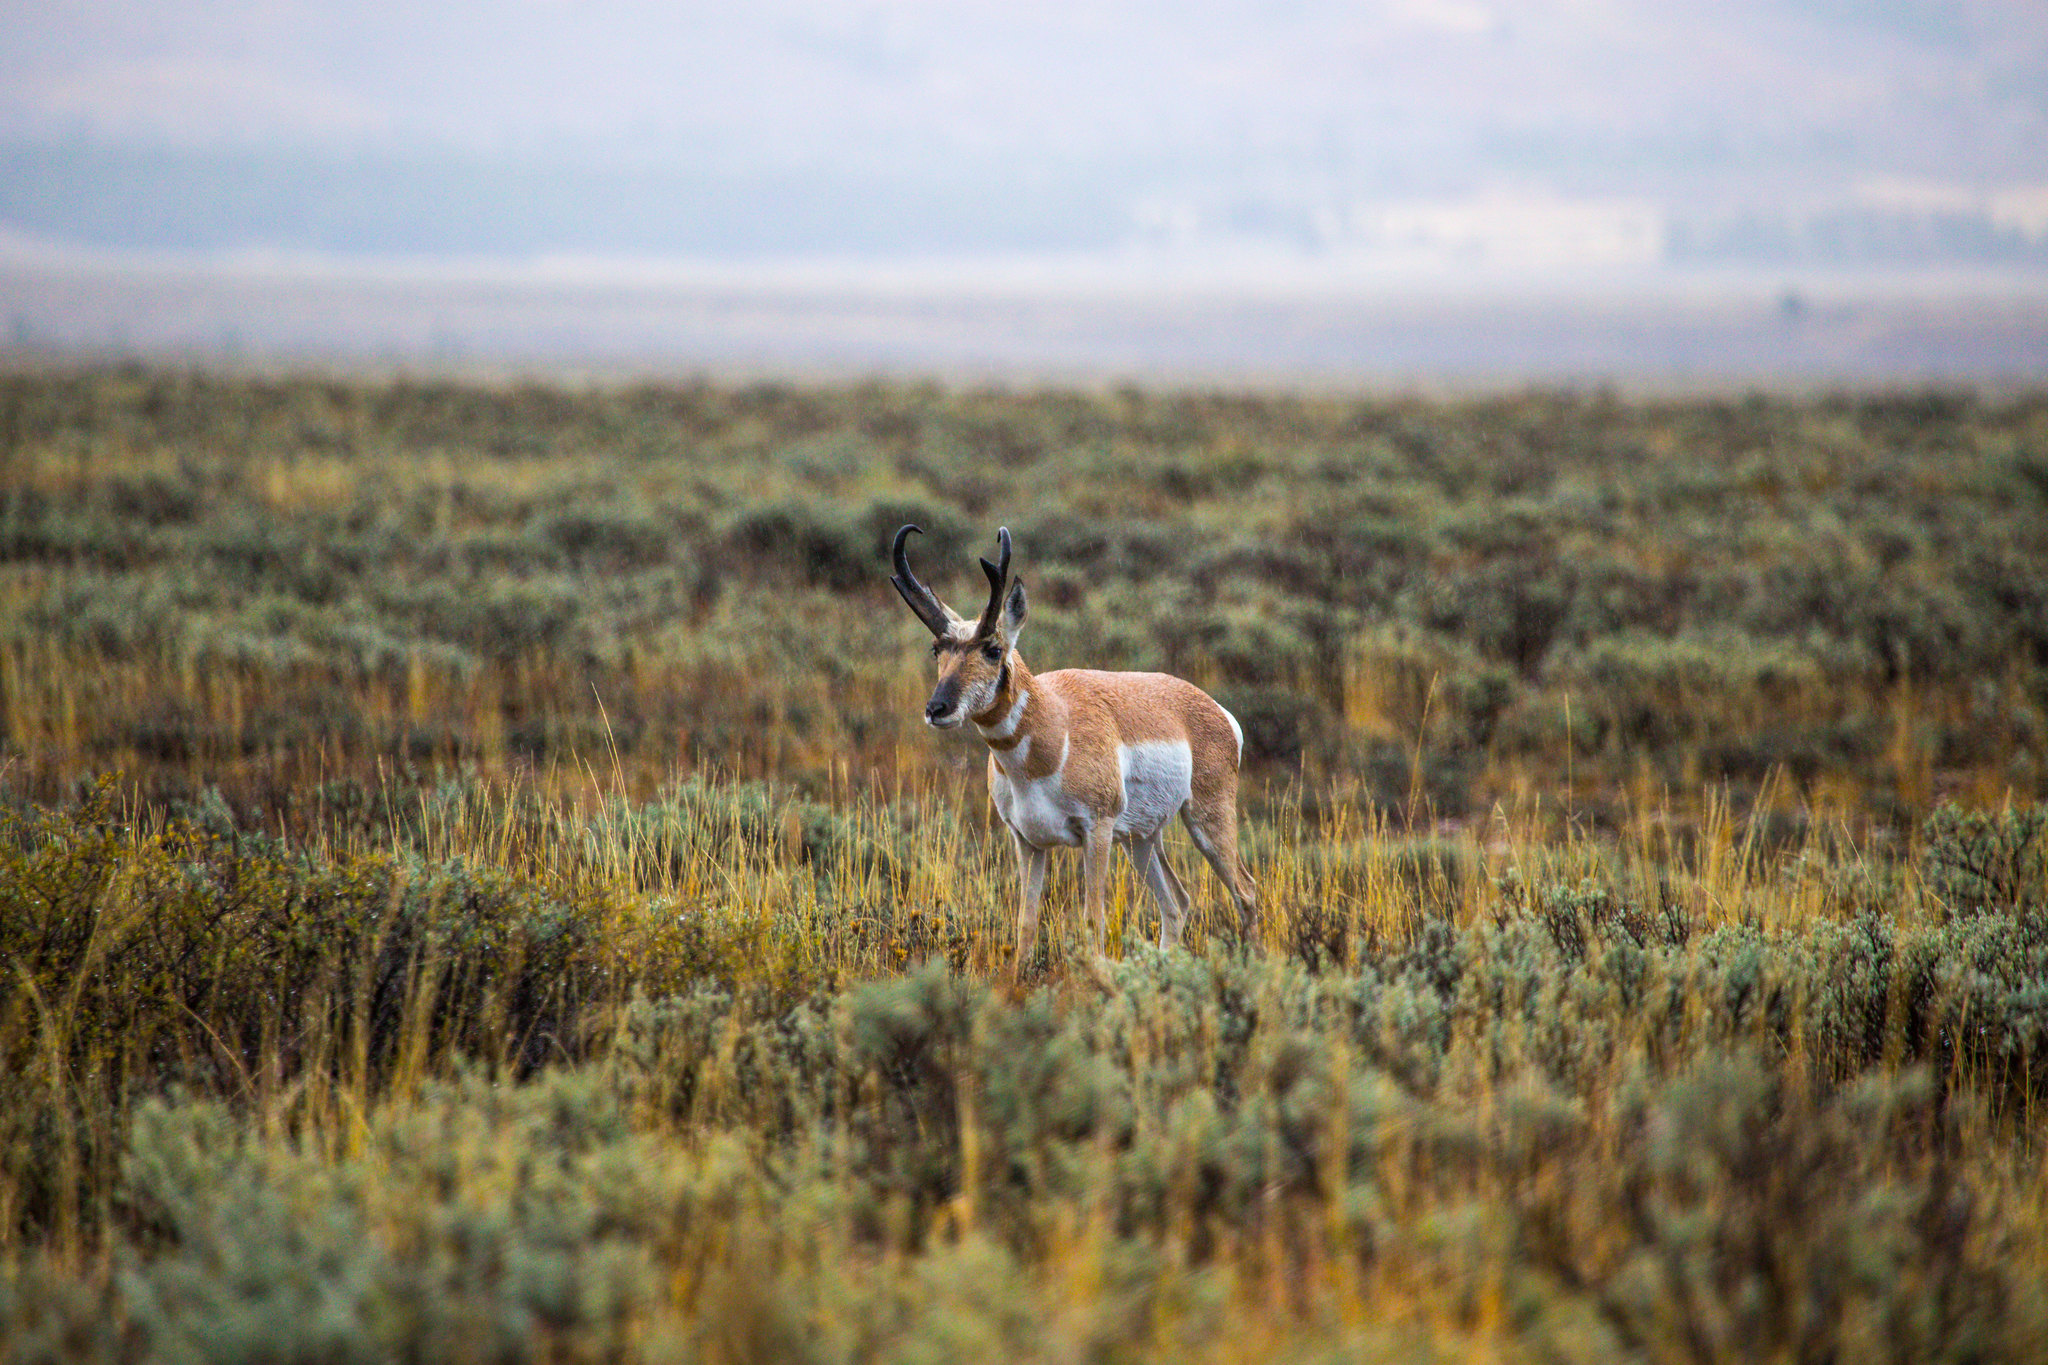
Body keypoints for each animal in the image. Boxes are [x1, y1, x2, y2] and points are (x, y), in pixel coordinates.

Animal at [888, 527, 1253, 982]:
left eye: (993, 649)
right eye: (937, 649)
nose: (937, 709)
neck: (1053, 725)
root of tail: (1216, 710)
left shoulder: (1096, 831)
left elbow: (1092, 918)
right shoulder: (1027, 842)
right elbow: (1026, 923)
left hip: (1205, 820)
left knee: (1245, 893)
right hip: (1142, 839)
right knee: (1177, 902)